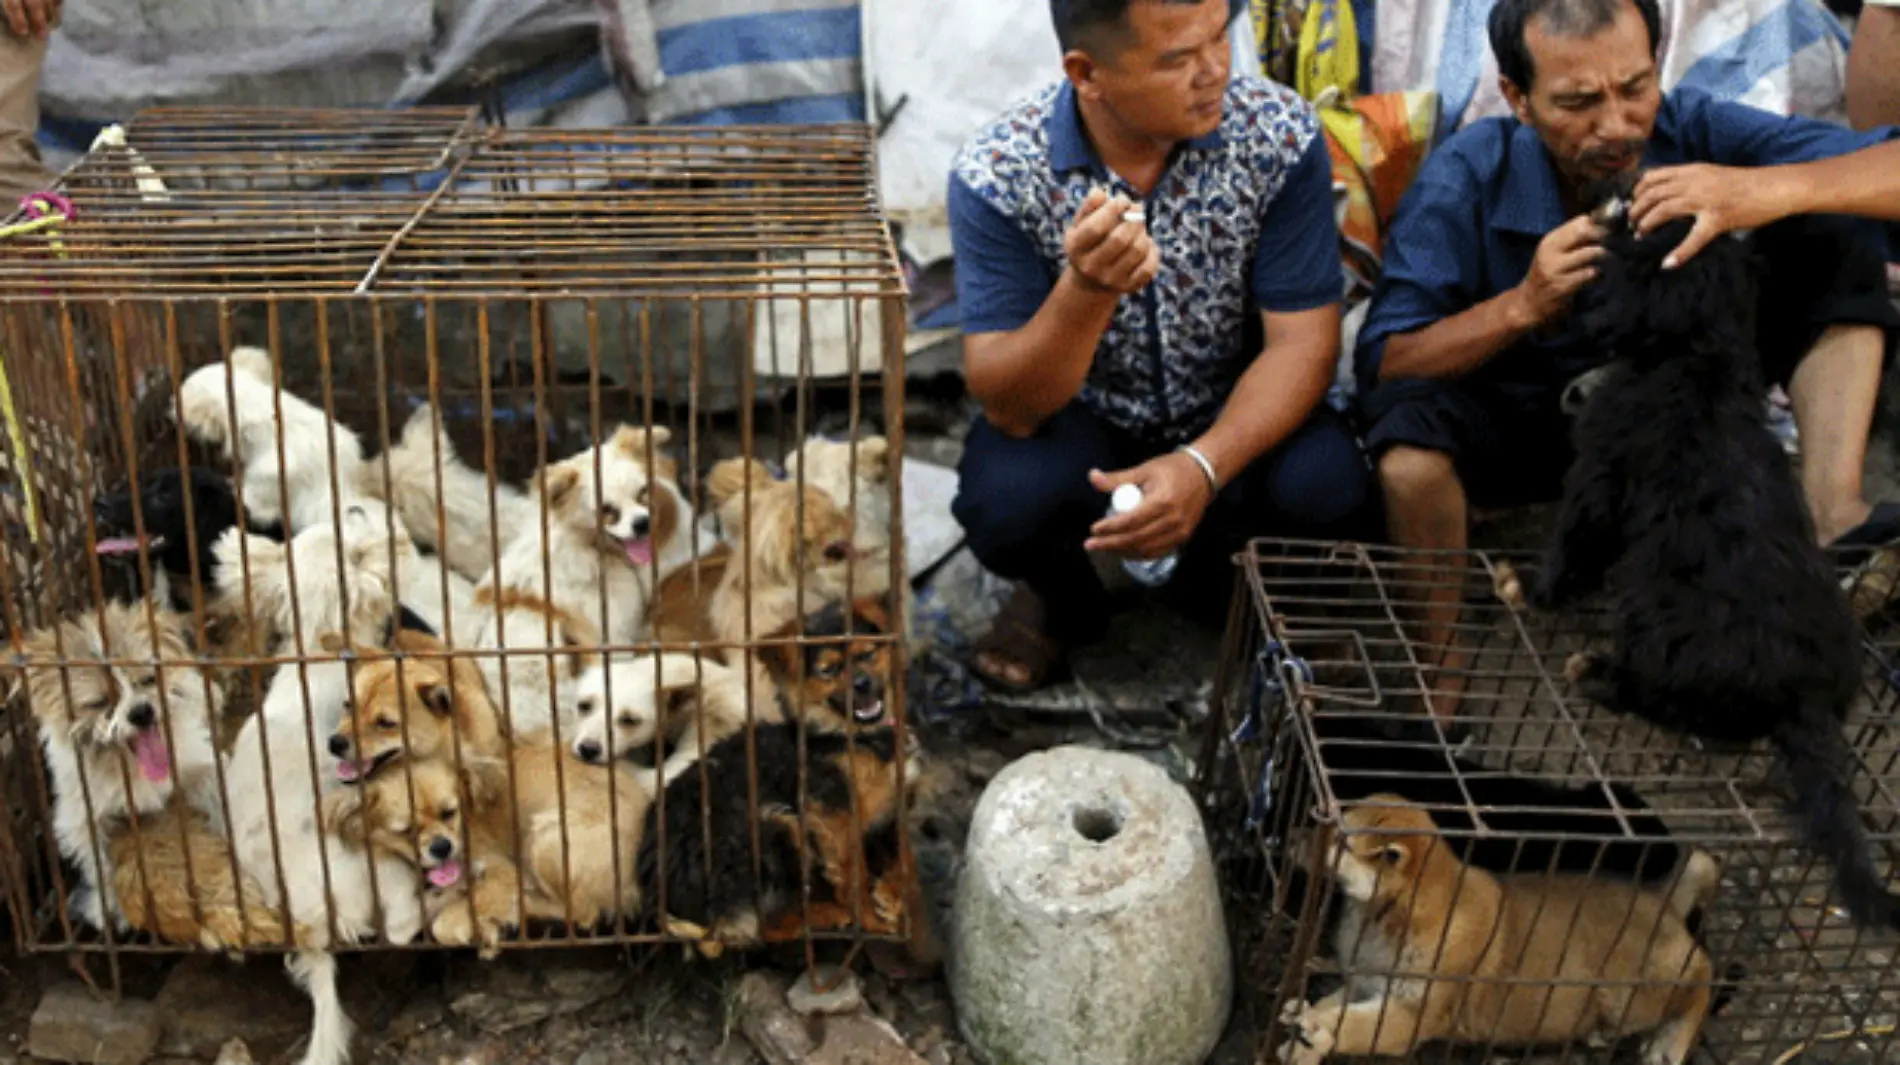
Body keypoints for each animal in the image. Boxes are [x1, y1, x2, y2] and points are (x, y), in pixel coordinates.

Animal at [1276, 793, 1725, 1063]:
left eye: (1340, 841)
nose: (1290, 834)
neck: (1382, 919)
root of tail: (1663, 903)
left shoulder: (1409, 1015)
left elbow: (1347, 1024)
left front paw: (1313, 1031)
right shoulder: (1366, 984)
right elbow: (1332, 1006)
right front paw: (1302, 1032)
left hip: (1633, 994)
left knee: (1704, 976)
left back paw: (1668, 1045)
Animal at [1527, 182, 1900, 930]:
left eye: (1643, 227)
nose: (1622, 189)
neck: (1697, 354)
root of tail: (1807, 699)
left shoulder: (1600, 469)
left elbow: (1576, 539)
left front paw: (1535, 586)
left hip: (1659, 627)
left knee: (1664, 700)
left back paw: (1598, 672)